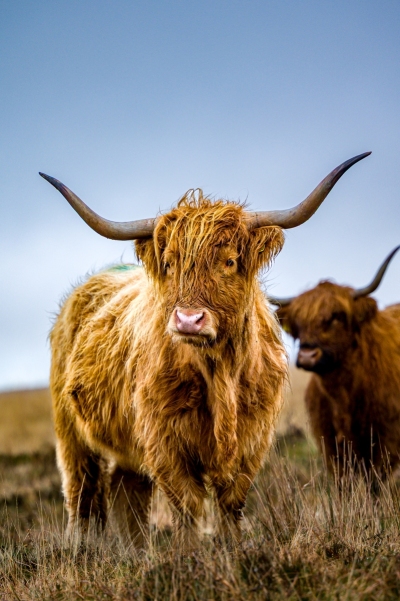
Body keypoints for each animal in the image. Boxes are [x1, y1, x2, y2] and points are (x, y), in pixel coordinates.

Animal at [39, 152, 368, 548]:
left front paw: (233, 549)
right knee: (81, 491)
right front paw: (188, 556)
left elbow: (231, 501)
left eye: (229, 261)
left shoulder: (252, 440)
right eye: (169, 264)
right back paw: (80, 548)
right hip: (70, 432)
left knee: (126, 489)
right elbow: (187, 504)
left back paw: (135, 550)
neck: (219, 373)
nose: (188, 320)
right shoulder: (164, 441)